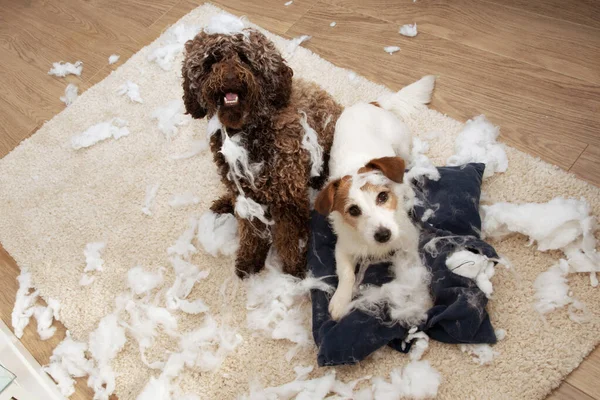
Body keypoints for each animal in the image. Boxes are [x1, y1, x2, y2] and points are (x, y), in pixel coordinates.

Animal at [182, 25, 342, 276]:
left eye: (245, 58)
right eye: (212, 60)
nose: (229, 76)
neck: (249, 131)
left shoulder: (288, 198)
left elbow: (290, 237)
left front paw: (294, 267)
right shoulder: (246, 196)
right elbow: (251, 232)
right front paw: (249, 259)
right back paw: (224, 204)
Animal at [314, 76, 436, 324]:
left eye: (382, 196)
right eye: (353, 210)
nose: (383, 235)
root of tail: (371, 104)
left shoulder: (409, 240)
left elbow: (412, 269)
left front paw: (418, 294)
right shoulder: (343, 248)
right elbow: (346, 274)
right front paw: (340, 300)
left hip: (402, 146)